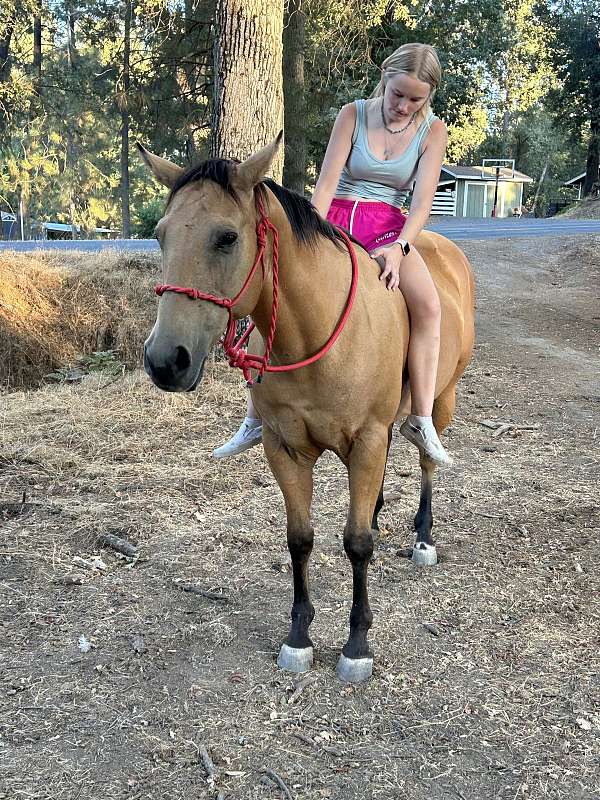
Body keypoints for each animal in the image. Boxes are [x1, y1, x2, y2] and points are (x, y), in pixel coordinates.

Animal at [138, 136, 476, 680]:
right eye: (160, 235)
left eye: (227, 238)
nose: (166, 361)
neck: (316, 333)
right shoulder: (286, 448)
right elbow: (299, 539)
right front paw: (299, 635)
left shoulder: (367, 441)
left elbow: (356, 544)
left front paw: (357, 644)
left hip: (442, 399)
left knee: (427, 459)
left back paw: (423, 537)